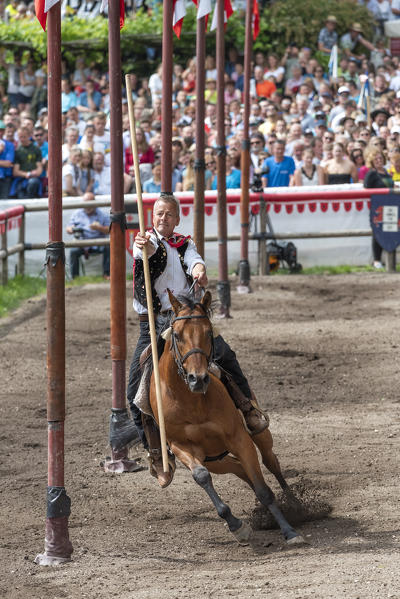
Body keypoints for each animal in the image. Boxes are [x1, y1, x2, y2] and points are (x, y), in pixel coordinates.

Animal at [148, 290, 304, 548]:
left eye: (208, 332)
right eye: (177, 335)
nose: (198, 379)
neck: (190, 401)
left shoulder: (239, 438)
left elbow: (264, 490)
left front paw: (290, 531)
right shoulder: (182, 447)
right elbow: (202, 477)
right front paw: (236, 526)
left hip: (259, 435)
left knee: (270, 463)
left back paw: (295, 505)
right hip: (216, 460)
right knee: (240, 469)